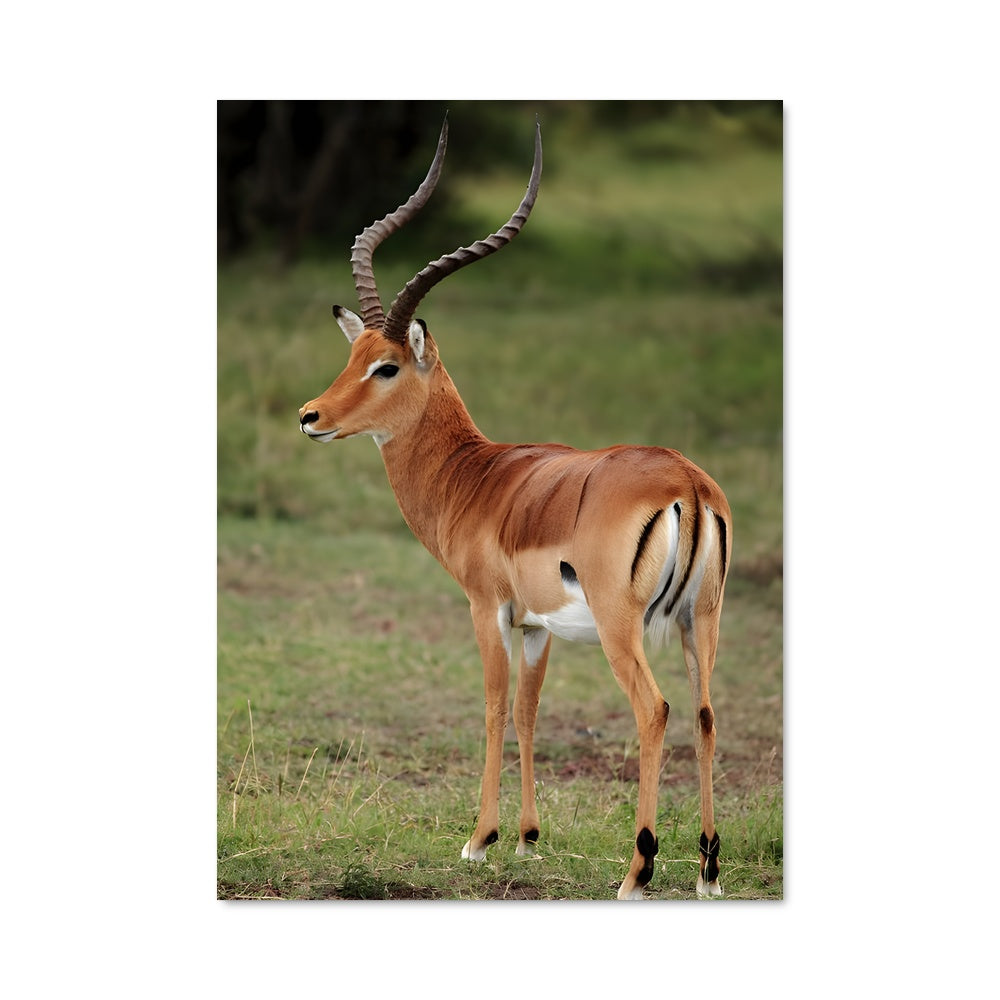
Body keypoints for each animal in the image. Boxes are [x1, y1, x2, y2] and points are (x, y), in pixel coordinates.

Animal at [298, 118, 732, 899]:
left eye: (387, 366)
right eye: (353, 357)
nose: (309, 416)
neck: (477, 478)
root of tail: (686, 482)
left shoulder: (487, 607)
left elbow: (496, 707)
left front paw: (479, 839)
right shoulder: (537, 626)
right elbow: (530, 712)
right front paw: (528, 839)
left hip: (625, 628)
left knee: (654, 710)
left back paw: (637, 872)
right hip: (700, 620)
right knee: (708, 714)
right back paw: (709, 871)